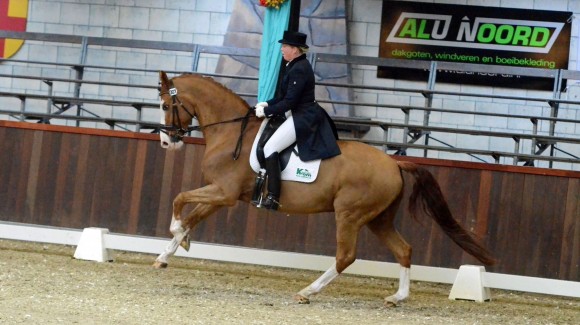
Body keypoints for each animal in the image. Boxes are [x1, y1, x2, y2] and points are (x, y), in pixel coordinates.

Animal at [154, 69, 494, 306]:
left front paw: (176, 233)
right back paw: (397, 298)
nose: (166, 142)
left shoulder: (223, 193)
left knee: (346, 256)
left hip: (350, 215)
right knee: (403, 250)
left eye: (166, 104)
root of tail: (394, 163)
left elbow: (179, 199)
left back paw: (308, 291)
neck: (230, 133)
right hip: (378, 219)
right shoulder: (222, 193)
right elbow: (192, 215)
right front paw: (170, 252)